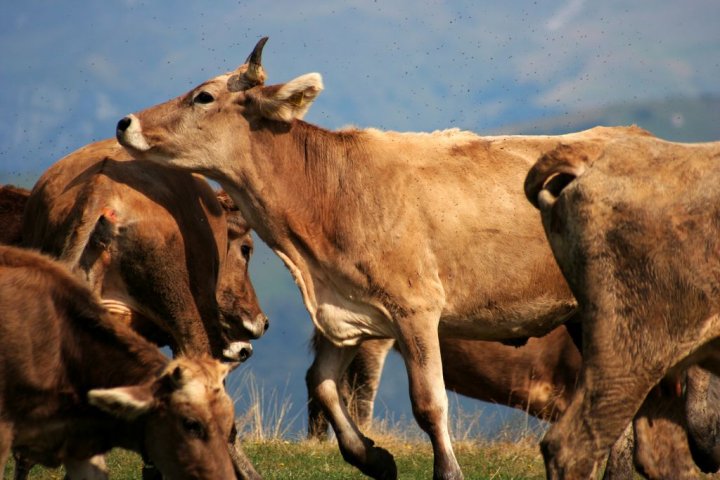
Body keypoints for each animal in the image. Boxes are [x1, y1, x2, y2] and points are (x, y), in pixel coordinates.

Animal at [111, 38, 668, 480]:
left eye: (204, 96)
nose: (124, 121)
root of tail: (643, 137)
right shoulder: (348, 311)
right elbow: (322, 383)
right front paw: (372, 457)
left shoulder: (414, 307)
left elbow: (428, 403)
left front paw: (447, 472)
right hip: (581, 313)